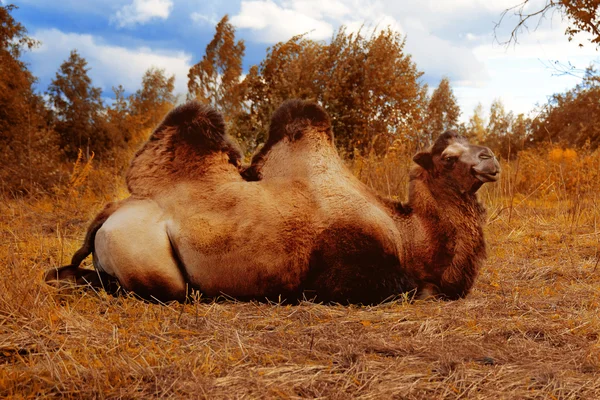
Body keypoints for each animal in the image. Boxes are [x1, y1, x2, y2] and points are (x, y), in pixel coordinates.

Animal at [44, 99, 500, 304]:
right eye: (449, 156)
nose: (490, 158)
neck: (408, 236)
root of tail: (111, 211)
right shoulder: (351, 268)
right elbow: (407, 288)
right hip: (147, 261)